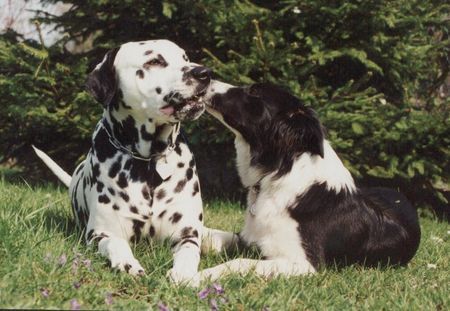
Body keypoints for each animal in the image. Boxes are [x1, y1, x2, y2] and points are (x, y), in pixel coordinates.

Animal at [32, 39, 219, 286]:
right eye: (154, 61)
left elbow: (189, 253)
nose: (204, 73)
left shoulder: (186, 234)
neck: (148, 163)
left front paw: (183, 275)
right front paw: (128, 264)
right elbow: (115, 243)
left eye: (185, 58)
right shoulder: (101, 233)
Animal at [193, 82, 422, 286]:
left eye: (254, 92)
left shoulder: (306, 264)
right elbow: (216, 236)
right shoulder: (249, 236)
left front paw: (202, 275)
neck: (279, 171)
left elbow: (240, 262)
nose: (207, 79)